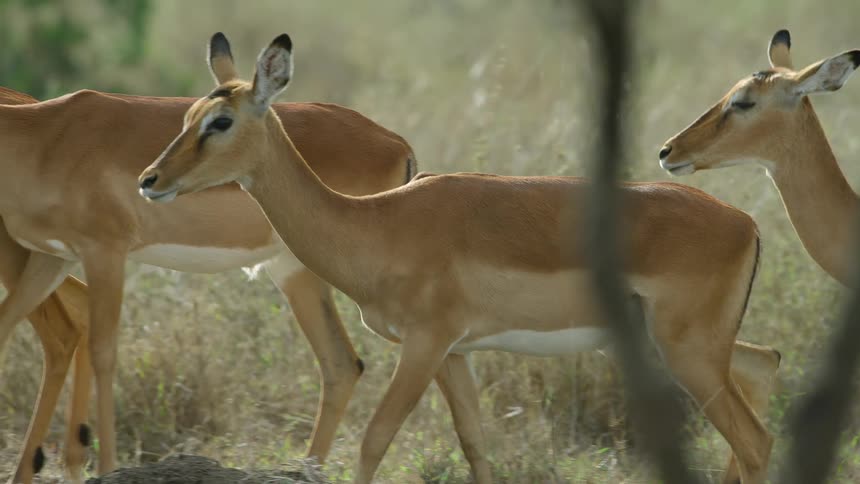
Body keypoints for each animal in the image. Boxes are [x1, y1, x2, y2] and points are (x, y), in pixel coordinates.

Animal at [0, 36, 416, 483]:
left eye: (219, 122)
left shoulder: (105, 252)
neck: (44, 138)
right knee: (341, 364)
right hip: (293, 271)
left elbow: (104, 352)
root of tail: (398, 144)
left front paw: (110, 468)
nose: (149, 180)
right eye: (186, 118)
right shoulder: (52, 257)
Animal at [140, 32, 782, 484]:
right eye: (186, 117)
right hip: (685, 346)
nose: (150, 180)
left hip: (687, 352)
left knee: (755, 439)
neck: (379, 223)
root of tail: (746, 224)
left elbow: (374, 439)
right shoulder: (456, 353)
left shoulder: (425, 345)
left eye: (220, 121)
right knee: (766, 369)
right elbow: (474, 443)